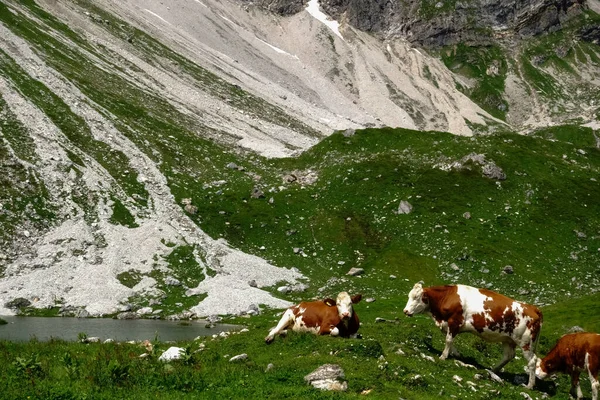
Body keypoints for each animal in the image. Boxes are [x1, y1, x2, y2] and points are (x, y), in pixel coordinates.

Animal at [404, 282, 544, 388]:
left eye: (416, 298)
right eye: (409, 296)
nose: (405, 311)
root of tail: (533, 308)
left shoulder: (454, 321)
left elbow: (448, 340)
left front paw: (443, 356)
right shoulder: (449, 325)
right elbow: (450, 340)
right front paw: (456, 354)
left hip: (526, 342)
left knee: (532, 361)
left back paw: (529, 385)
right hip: (508, 339)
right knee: (508, 356)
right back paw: (493, 370)